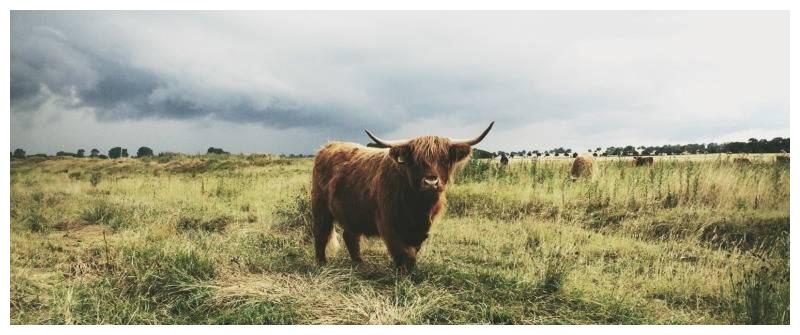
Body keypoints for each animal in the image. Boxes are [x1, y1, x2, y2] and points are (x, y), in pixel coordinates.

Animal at [310, 122, 494, 274]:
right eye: (417, 161)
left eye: (444, 159)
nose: (430, 182)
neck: (418, 206)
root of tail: (327, 146)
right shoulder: (389, 225)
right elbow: (404, 253)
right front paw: (402, 275)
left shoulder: (422, 229)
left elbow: (413, 252)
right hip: (320, 206)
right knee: (321, 232)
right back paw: (321, 264)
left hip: (352, 211)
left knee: (351, 236)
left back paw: (359, 264)